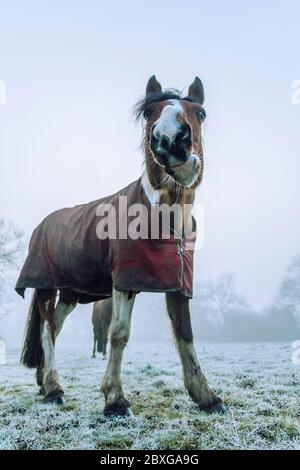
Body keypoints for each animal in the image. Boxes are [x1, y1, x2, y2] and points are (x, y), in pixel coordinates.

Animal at [16, 76, 226, 414]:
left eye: (201, 113)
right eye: (149, 112)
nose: (171, 140)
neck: (163, 217)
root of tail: (44, 224)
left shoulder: (179, 285)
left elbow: (186, 335)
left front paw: (207, 397)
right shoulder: (125, 282)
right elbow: (119, 333)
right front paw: (114, 399)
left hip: (71, 293)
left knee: (54, 328)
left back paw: (44, 383)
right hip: (46, 287)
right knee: (47, 332)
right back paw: (53, 389)